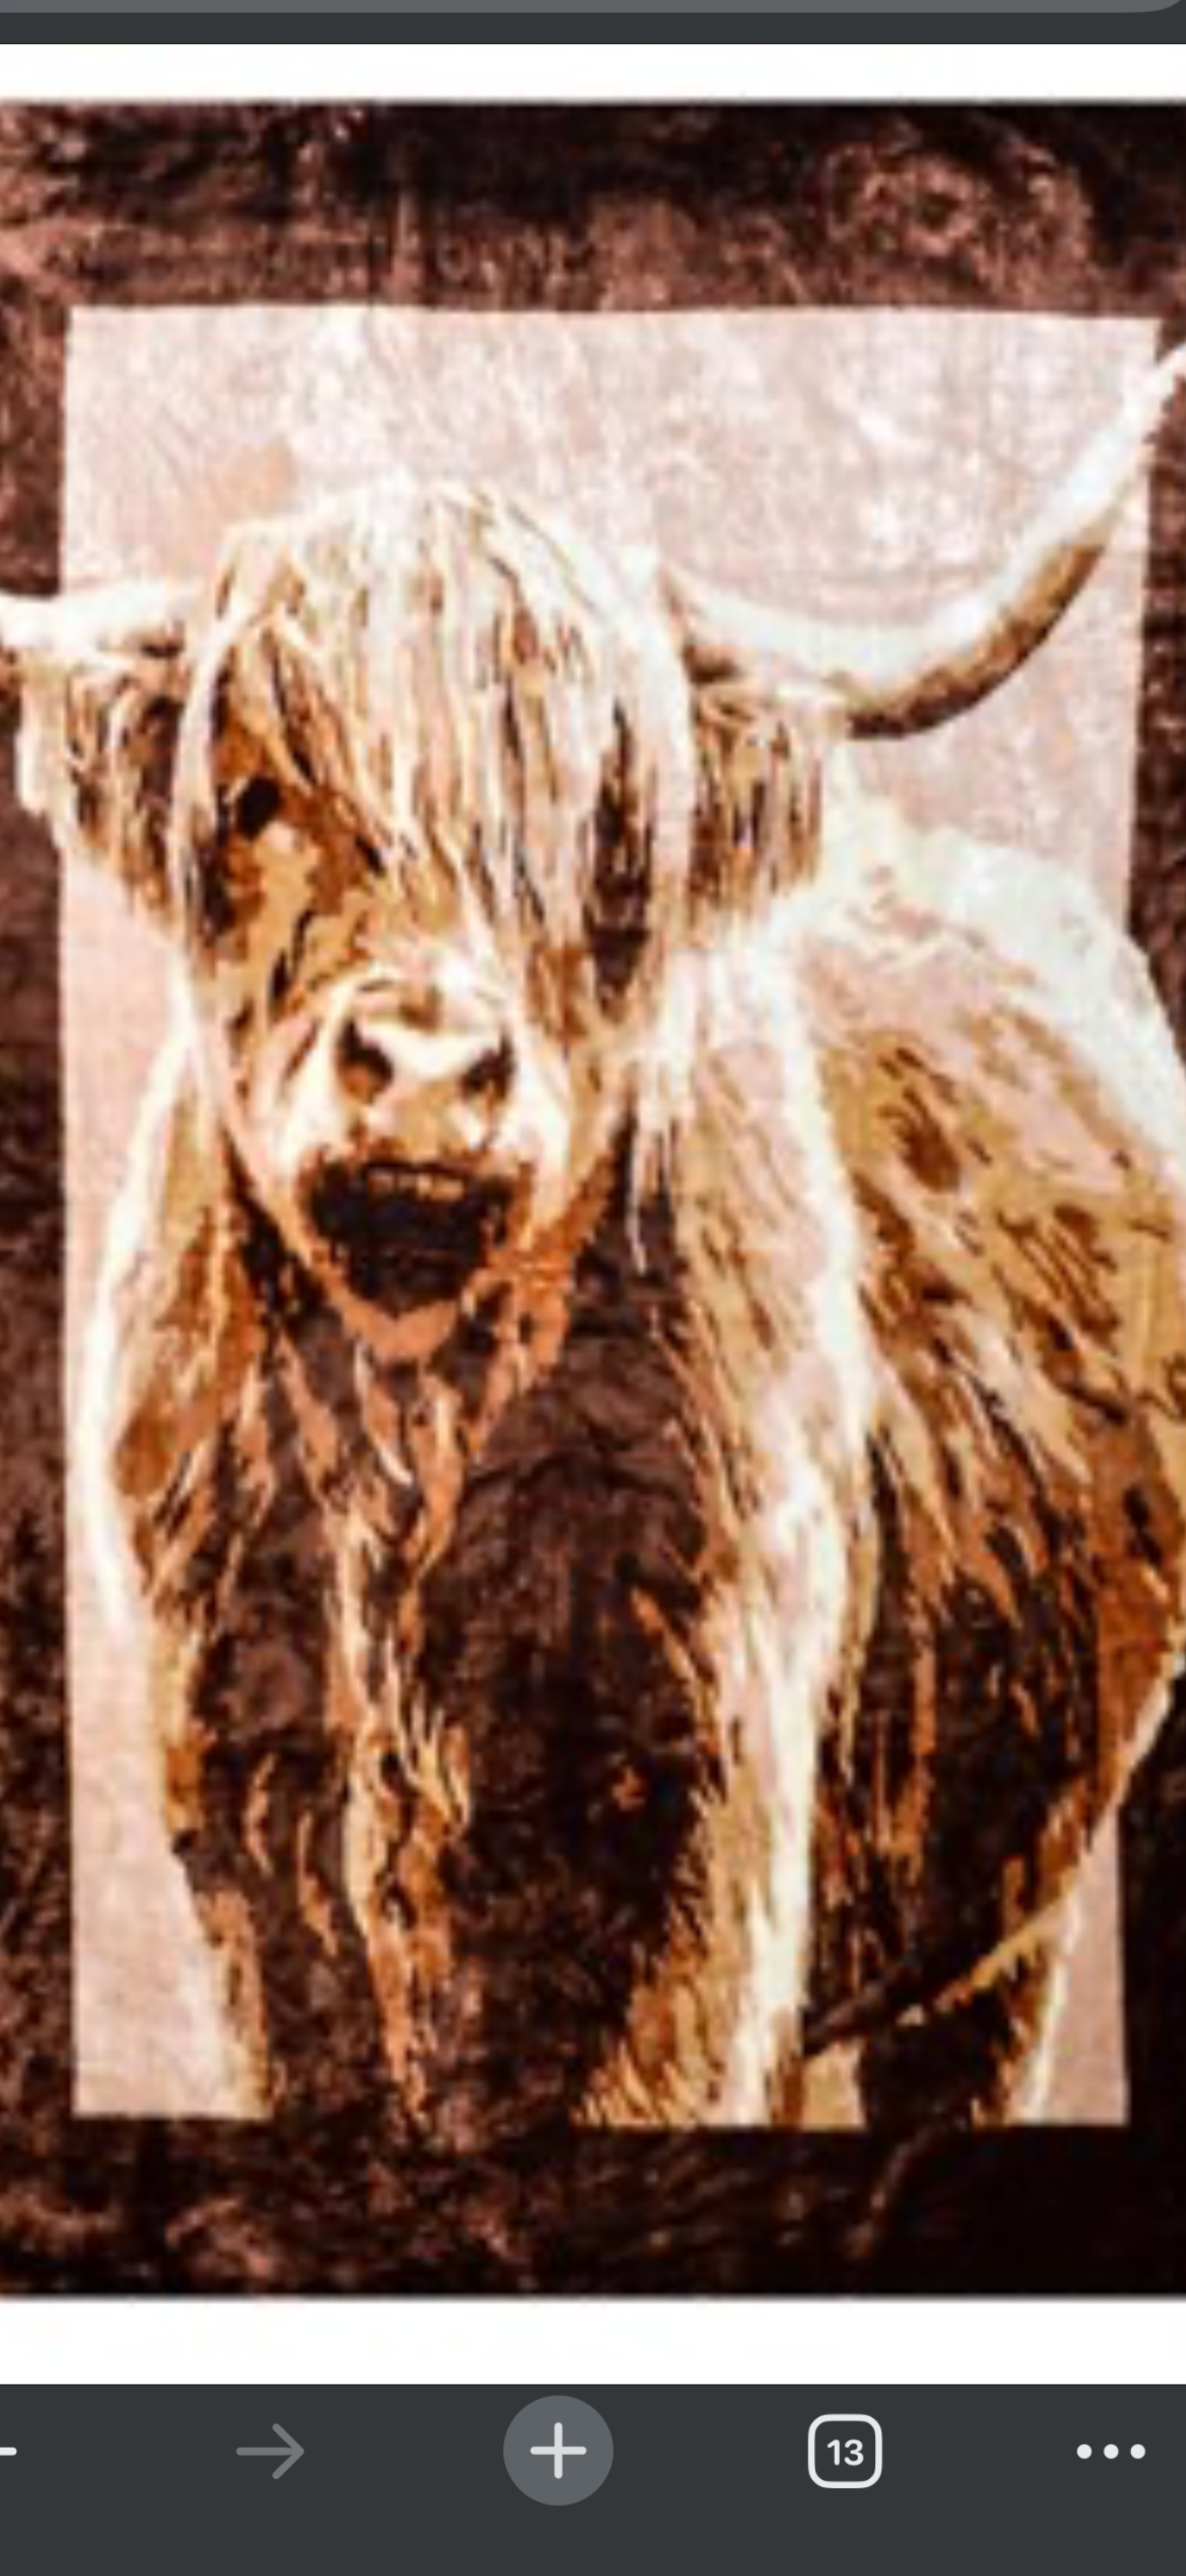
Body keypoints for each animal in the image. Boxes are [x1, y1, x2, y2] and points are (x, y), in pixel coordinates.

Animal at [8, 347, 1186, 2143]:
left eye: (613, 831)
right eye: (257, 796)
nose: (427, 1071)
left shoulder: (699, 1876)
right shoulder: (256, 1867)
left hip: (1004, 1930)